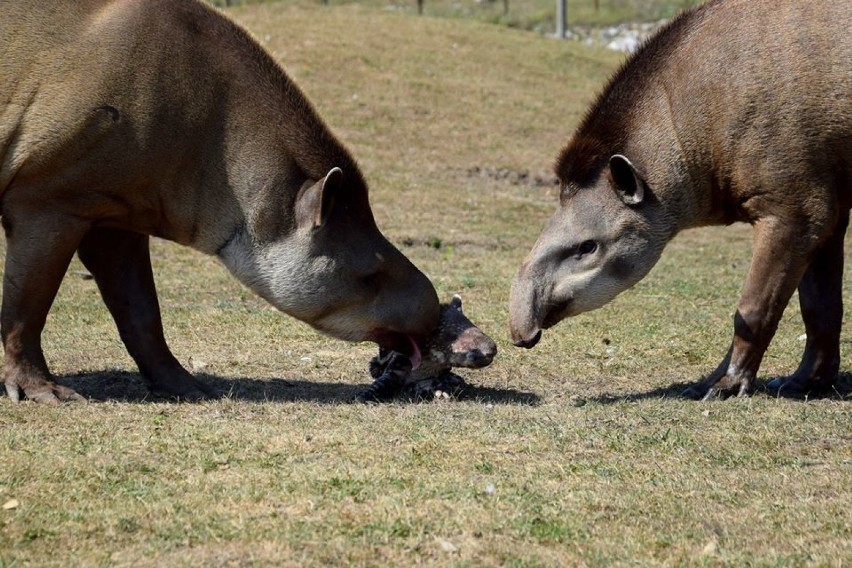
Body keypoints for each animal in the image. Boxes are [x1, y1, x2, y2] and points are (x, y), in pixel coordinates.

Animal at [354, 296, 500, 402]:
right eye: (451, 336)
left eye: (473, 324)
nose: (492, 348)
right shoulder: (397, 366)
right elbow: (382, 383)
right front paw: (363, 396)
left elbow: (449, 382)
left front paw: (441, 390)